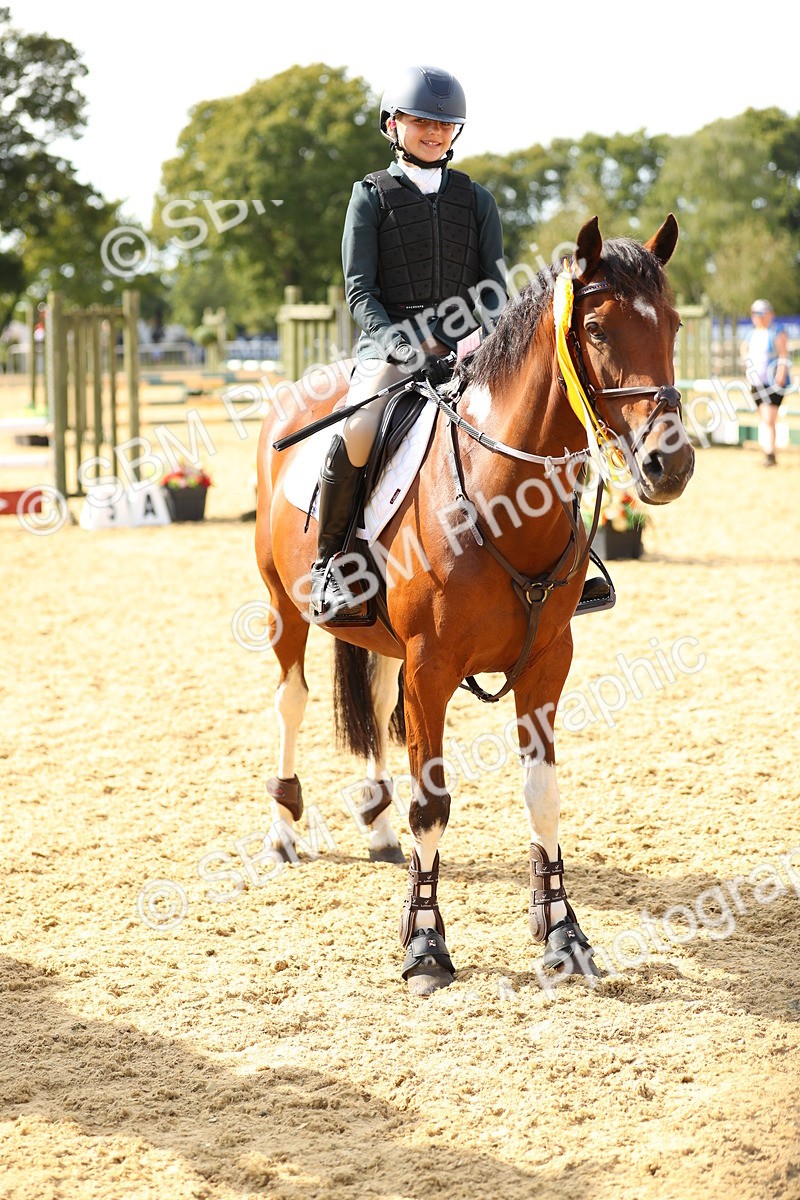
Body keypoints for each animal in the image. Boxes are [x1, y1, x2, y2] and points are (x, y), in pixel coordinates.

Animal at [254, 214, 695, 996]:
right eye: (599, 329)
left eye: (673, 324)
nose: (668, 465)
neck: (500, 497)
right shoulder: (432, 669)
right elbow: (433, 803)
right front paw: (426, 945)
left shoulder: (547, 663)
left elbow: (542, 795)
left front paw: (563, 934)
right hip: (284, 606)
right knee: (292, 700)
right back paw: (283, 831)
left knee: (372, 700)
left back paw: (378, 828)